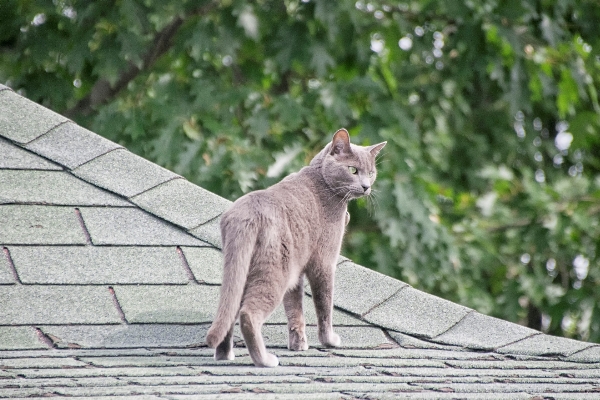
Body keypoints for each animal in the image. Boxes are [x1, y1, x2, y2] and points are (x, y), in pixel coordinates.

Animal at [205, 130, 384, 368]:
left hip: (243, 268)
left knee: (230, 307)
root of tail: (245, 215)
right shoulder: (324, 261)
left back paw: (225, 354)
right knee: (248, 314)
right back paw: (265, 360)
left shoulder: (297, 269)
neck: (322, 181)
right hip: (275, 269)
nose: (366, 186)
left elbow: (294, 308)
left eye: (371, 173)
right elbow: (324, 304)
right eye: (353, 170)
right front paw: (329, 340)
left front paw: (298, 344)